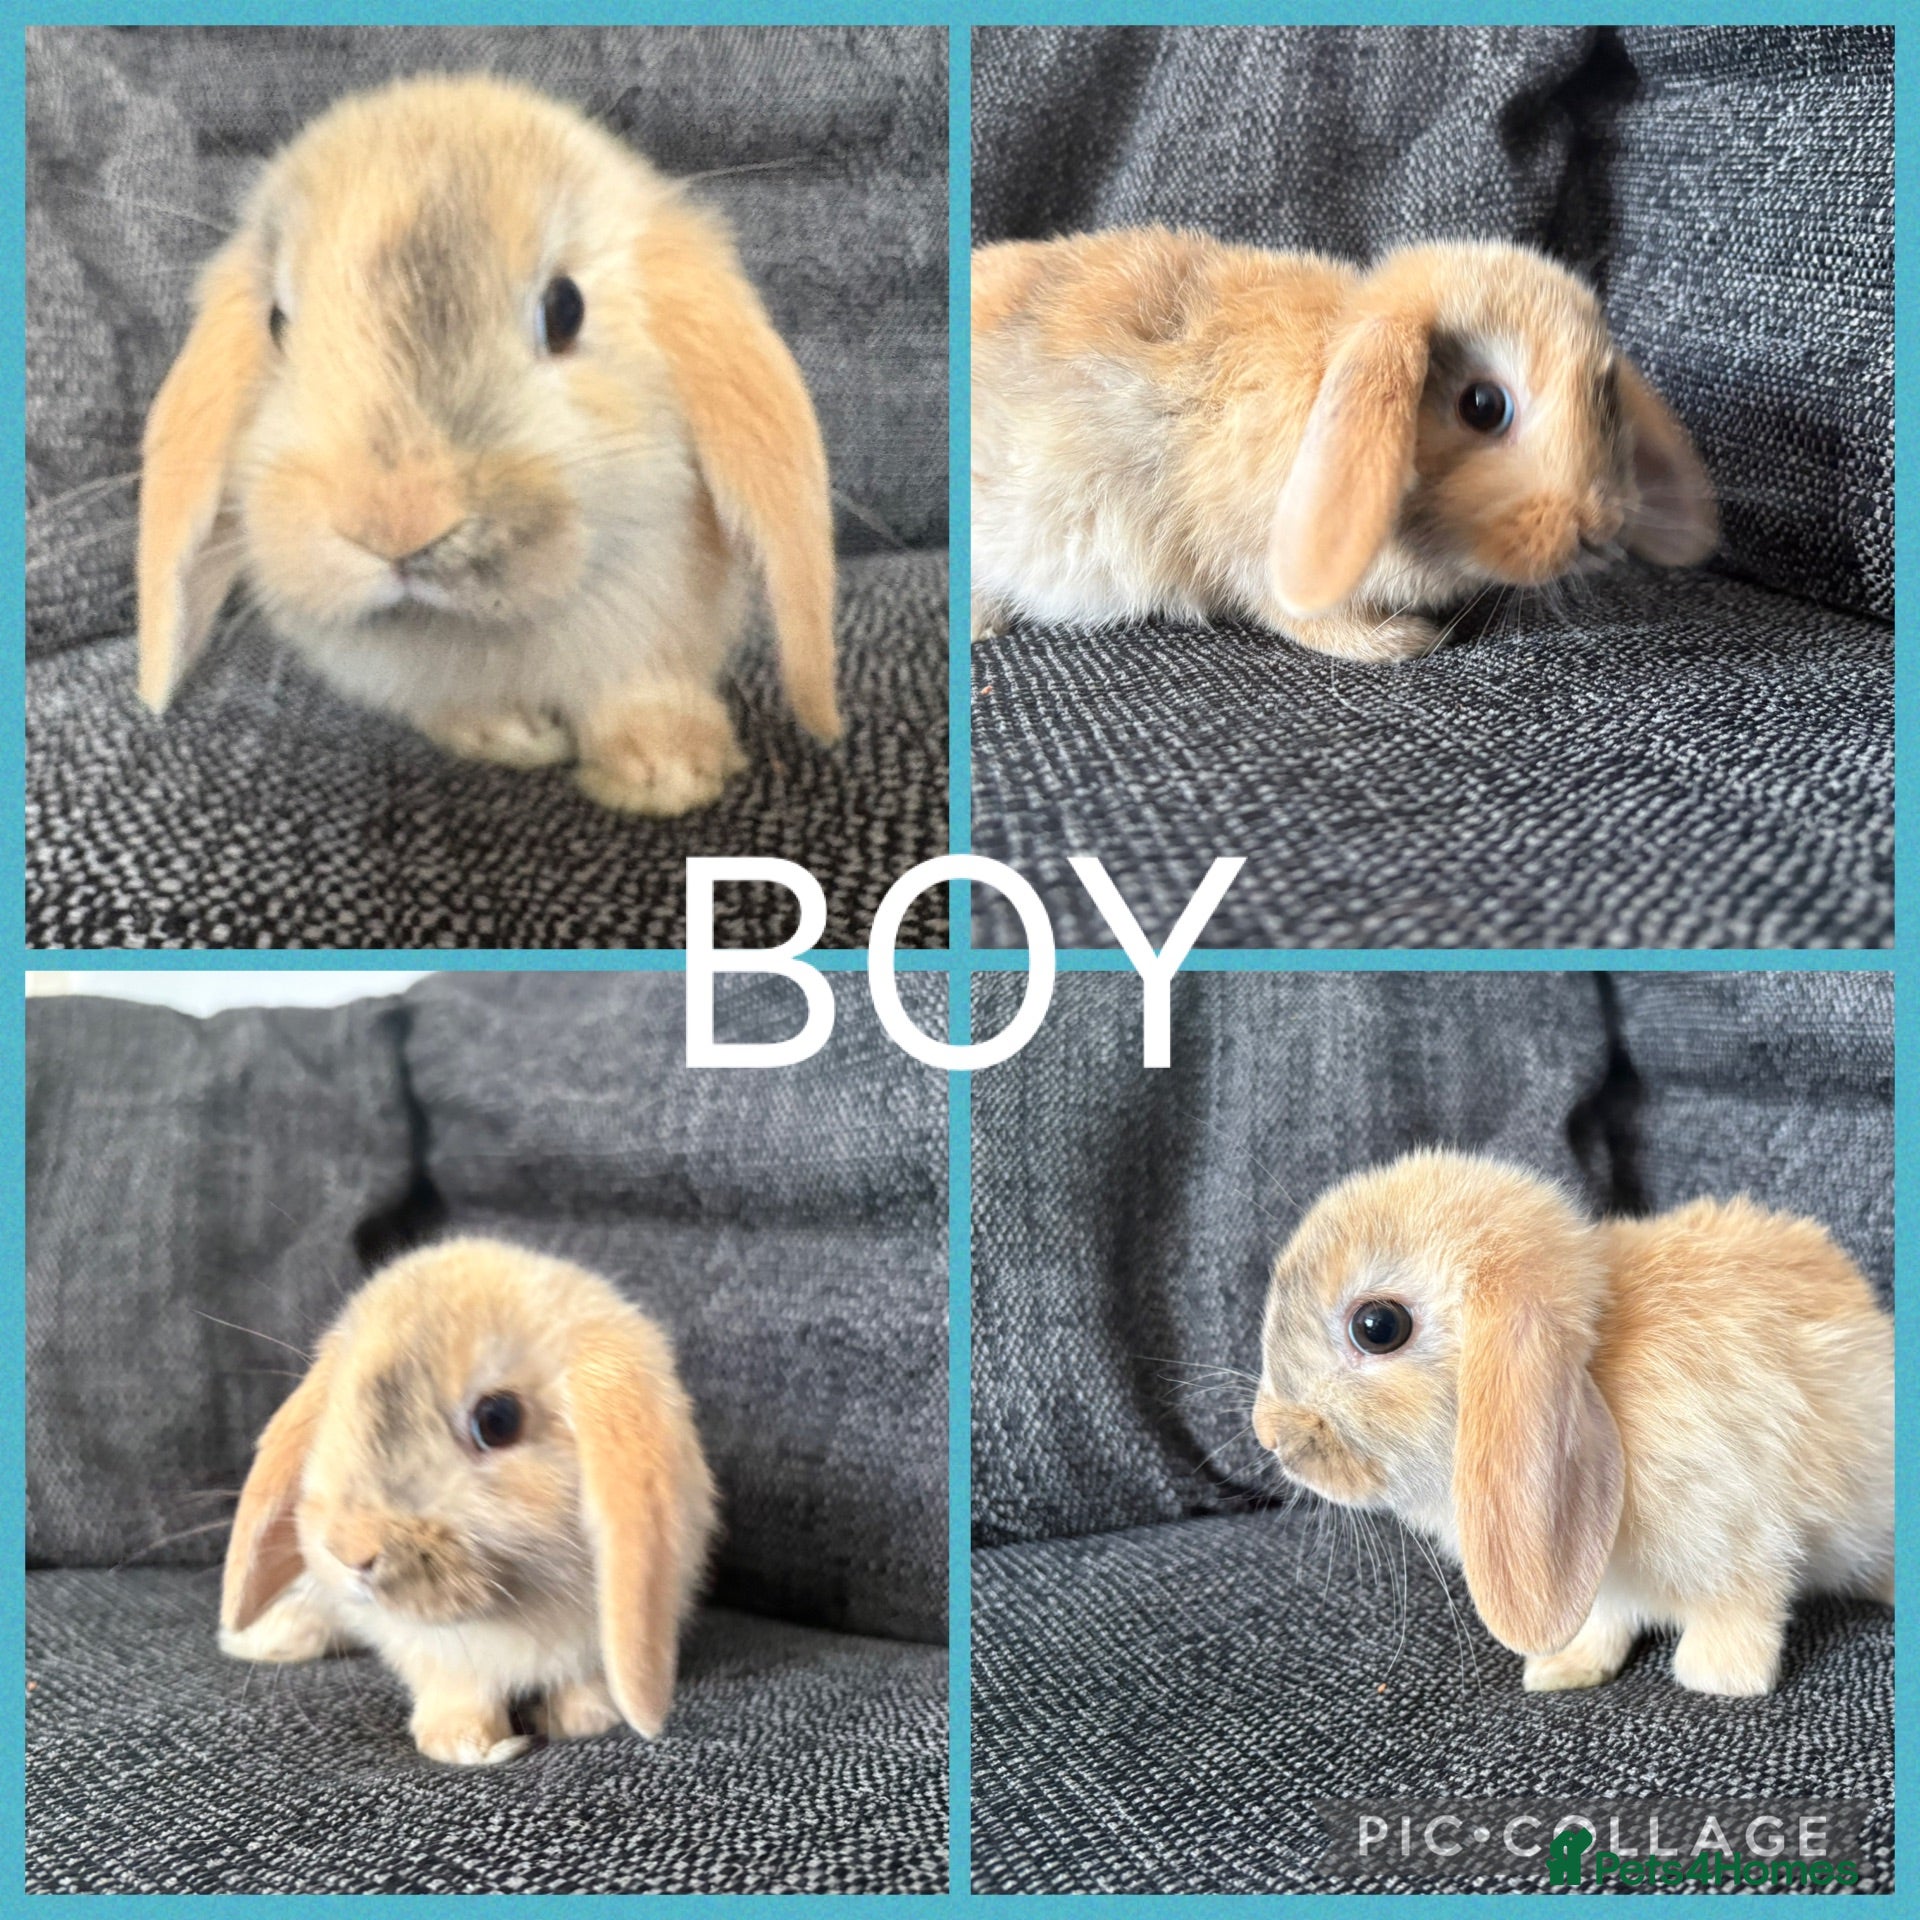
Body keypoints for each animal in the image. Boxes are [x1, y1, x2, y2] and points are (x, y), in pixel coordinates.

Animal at [138, 73, 841, 817]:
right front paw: (512, 737)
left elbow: (641, 689)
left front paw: (667, 775)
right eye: (275, 323)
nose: (397, 521)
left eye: (565, 309)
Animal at [219, 1238, 717, 1765]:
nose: (348, 1551)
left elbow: (585, 1679)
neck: (518, 1603)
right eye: (336, 1402)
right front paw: (466, 1744)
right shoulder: (433, 1651)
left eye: (498, 1420)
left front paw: (583, 1719)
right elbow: (460, 1688)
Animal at [972, 229, 1717, 658]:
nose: (1602, 527)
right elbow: (1292, 614)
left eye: (1607, 396)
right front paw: (1402, 641)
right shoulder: (1248, 556)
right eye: (1484, 406)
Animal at [1251, 1149, 1892, 1696]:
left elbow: (1744, 1604)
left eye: (1378, 1327)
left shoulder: (1742, 1531)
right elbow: (1603, 1625)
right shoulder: (1601, 1582)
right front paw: (1563, 1668)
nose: (1267, 1434)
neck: (1600, 1371)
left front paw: (1717, 1677)